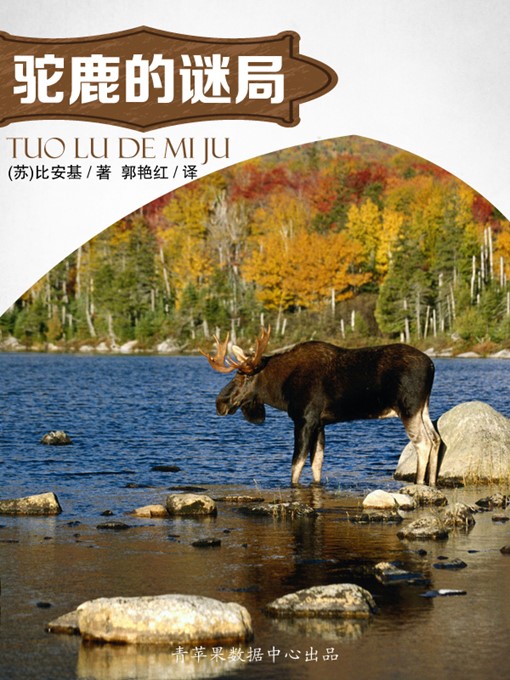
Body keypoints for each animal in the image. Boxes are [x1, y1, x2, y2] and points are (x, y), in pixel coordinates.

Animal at [201, 327, 441, 487]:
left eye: (243, 376)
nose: (220, 403)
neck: (281, 389)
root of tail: (432, 365)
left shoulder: (304, 419)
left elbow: (296, 464)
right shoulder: (320, 423)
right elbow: (317, 463)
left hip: (408, 408)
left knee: (423, 442)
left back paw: (420, 484)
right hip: (423, 408)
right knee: (436, 438)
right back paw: (432, 483)